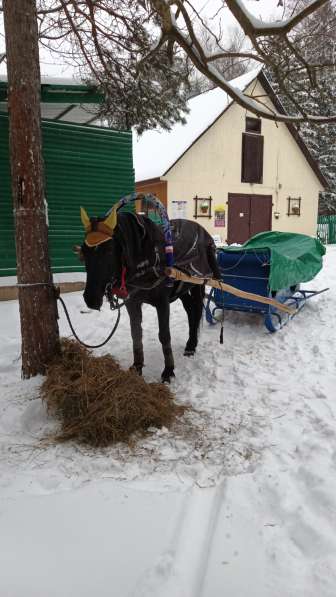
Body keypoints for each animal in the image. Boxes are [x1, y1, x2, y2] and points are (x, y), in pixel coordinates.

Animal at [79, 206, 220, 382]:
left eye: (109, 250)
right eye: (84, 250)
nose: (90, 298)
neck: (148, 259)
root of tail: (204, 233)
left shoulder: (162, 303)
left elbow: (164, 335)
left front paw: (168, 371)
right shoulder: (132, 302)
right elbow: (136, 333)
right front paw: (137, 366)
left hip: (197, 284)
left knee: (196, 312)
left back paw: (191, 346)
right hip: (182, 289)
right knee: (190, 311)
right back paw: (190, 344)